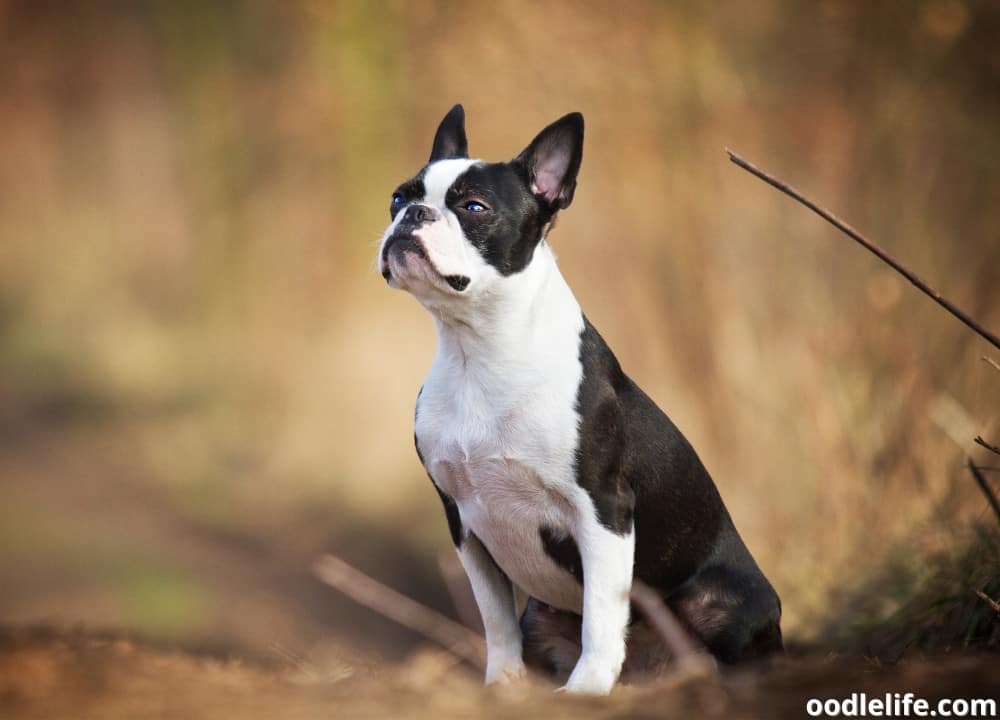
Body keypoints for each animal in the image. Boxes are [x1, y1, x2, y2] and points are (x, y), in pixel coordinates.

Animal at [376, 104, 780, 696]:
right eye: (398, 198)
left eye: (474, 207)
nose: (412, 215)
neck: (479, 349)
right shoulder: (464, 521)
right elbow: (495, 617)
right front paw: (504, 687)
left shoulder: (602, 510)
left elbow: (602, 613)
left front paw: (587, 689)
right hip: (541, 613)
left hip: (720, 599)